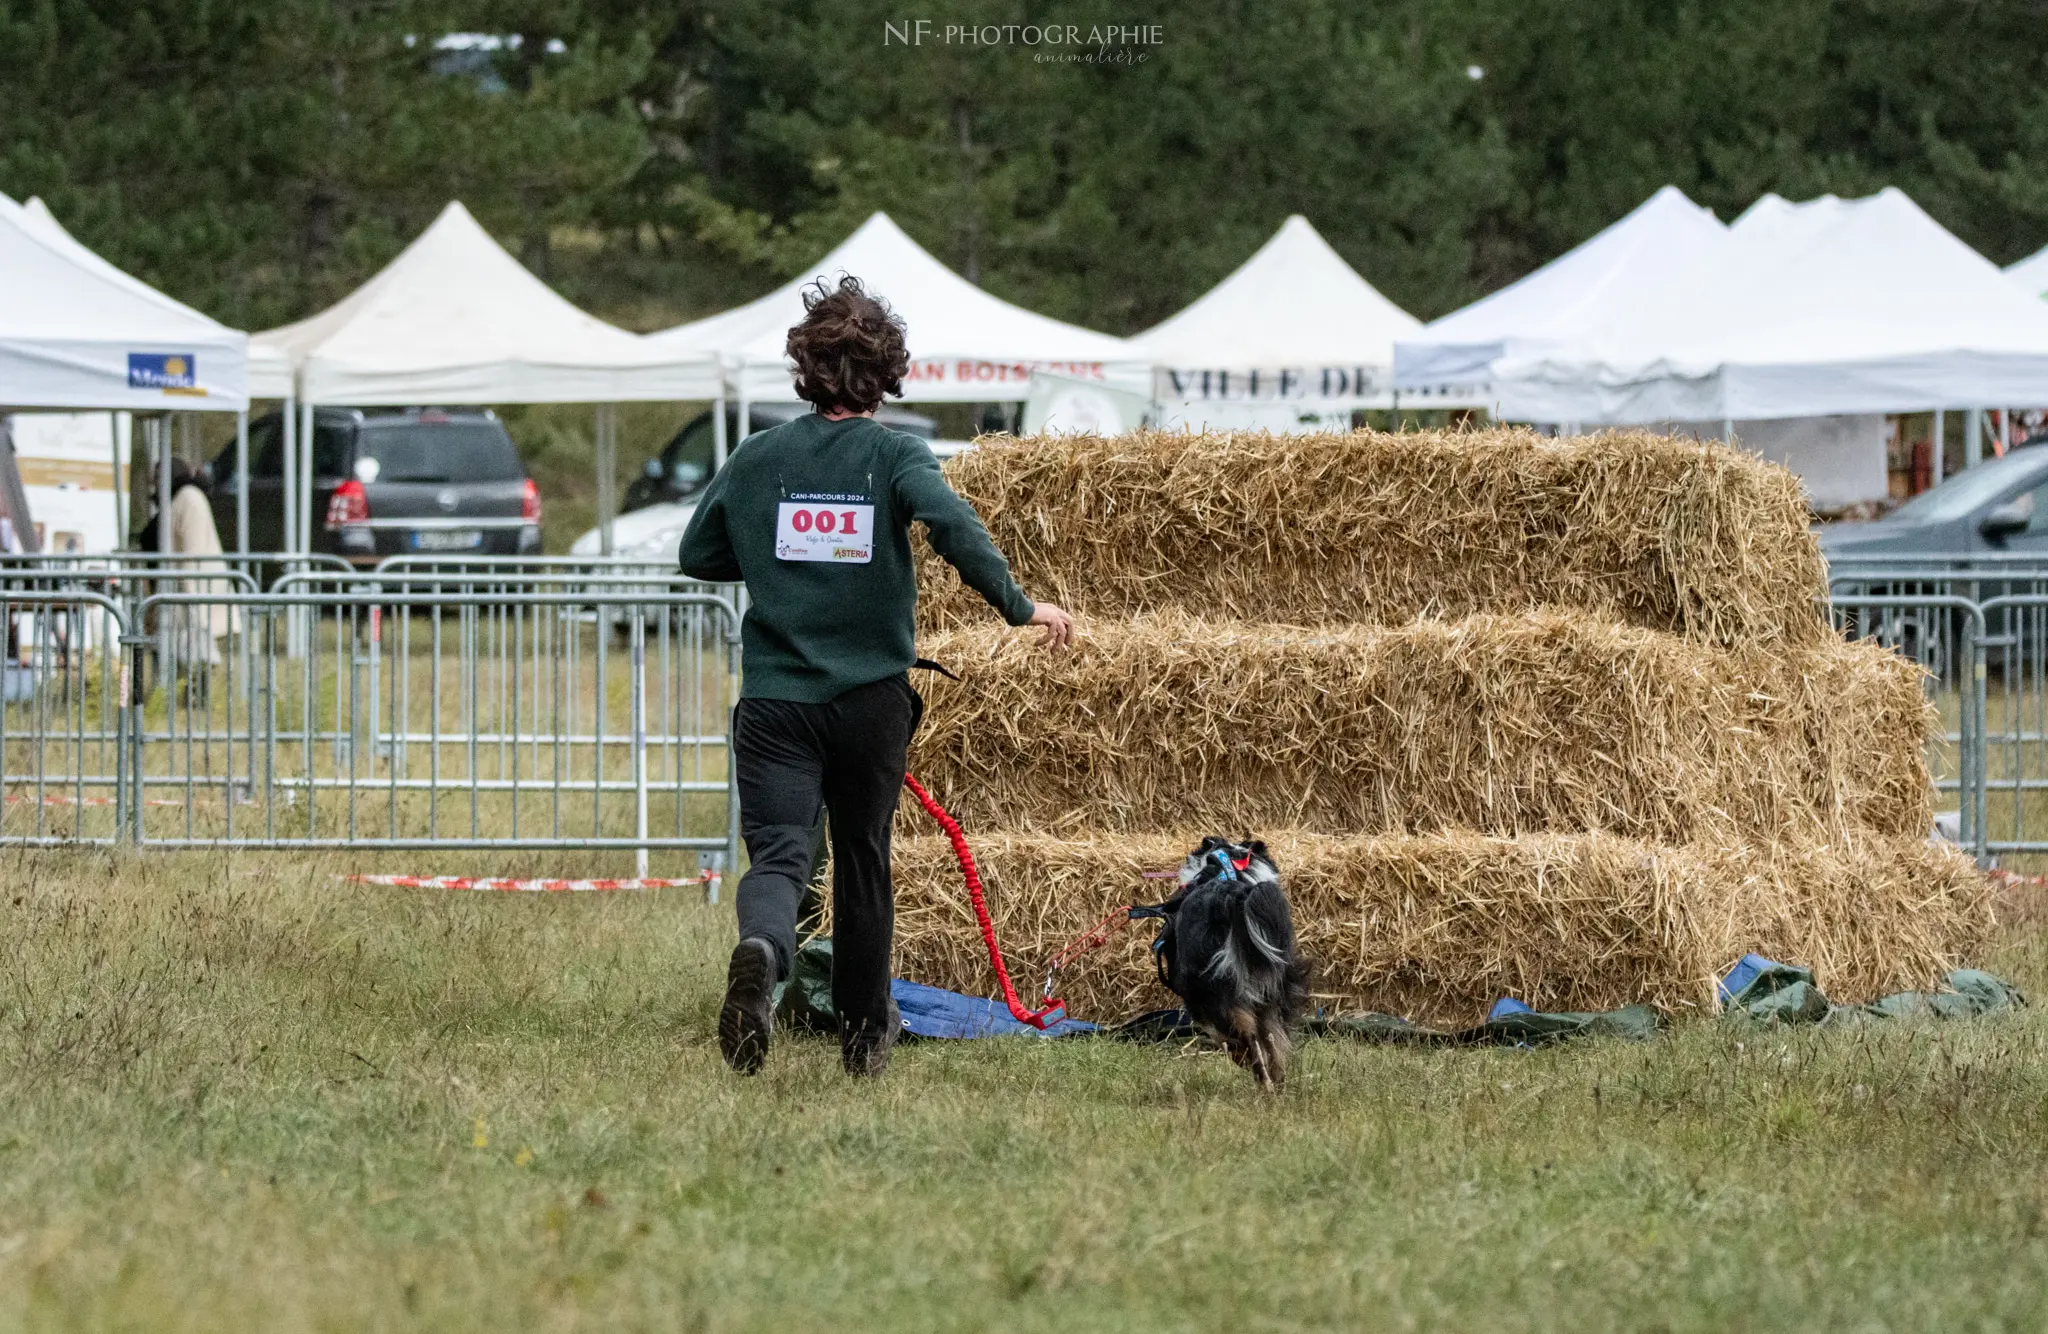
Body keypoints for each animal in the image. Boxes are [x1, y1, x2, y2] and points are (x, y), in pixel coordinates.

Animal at [1146, 840, 1302, 1090]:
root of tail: (1233, 895)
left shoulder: (1198, 1000)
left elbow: (1228, 1041)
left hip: (1216, 989)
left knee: (1246, 1038)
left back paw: (1263, 1082)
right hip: (1274, 989)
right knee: (1272, 1037)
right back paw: (1276, 1083)